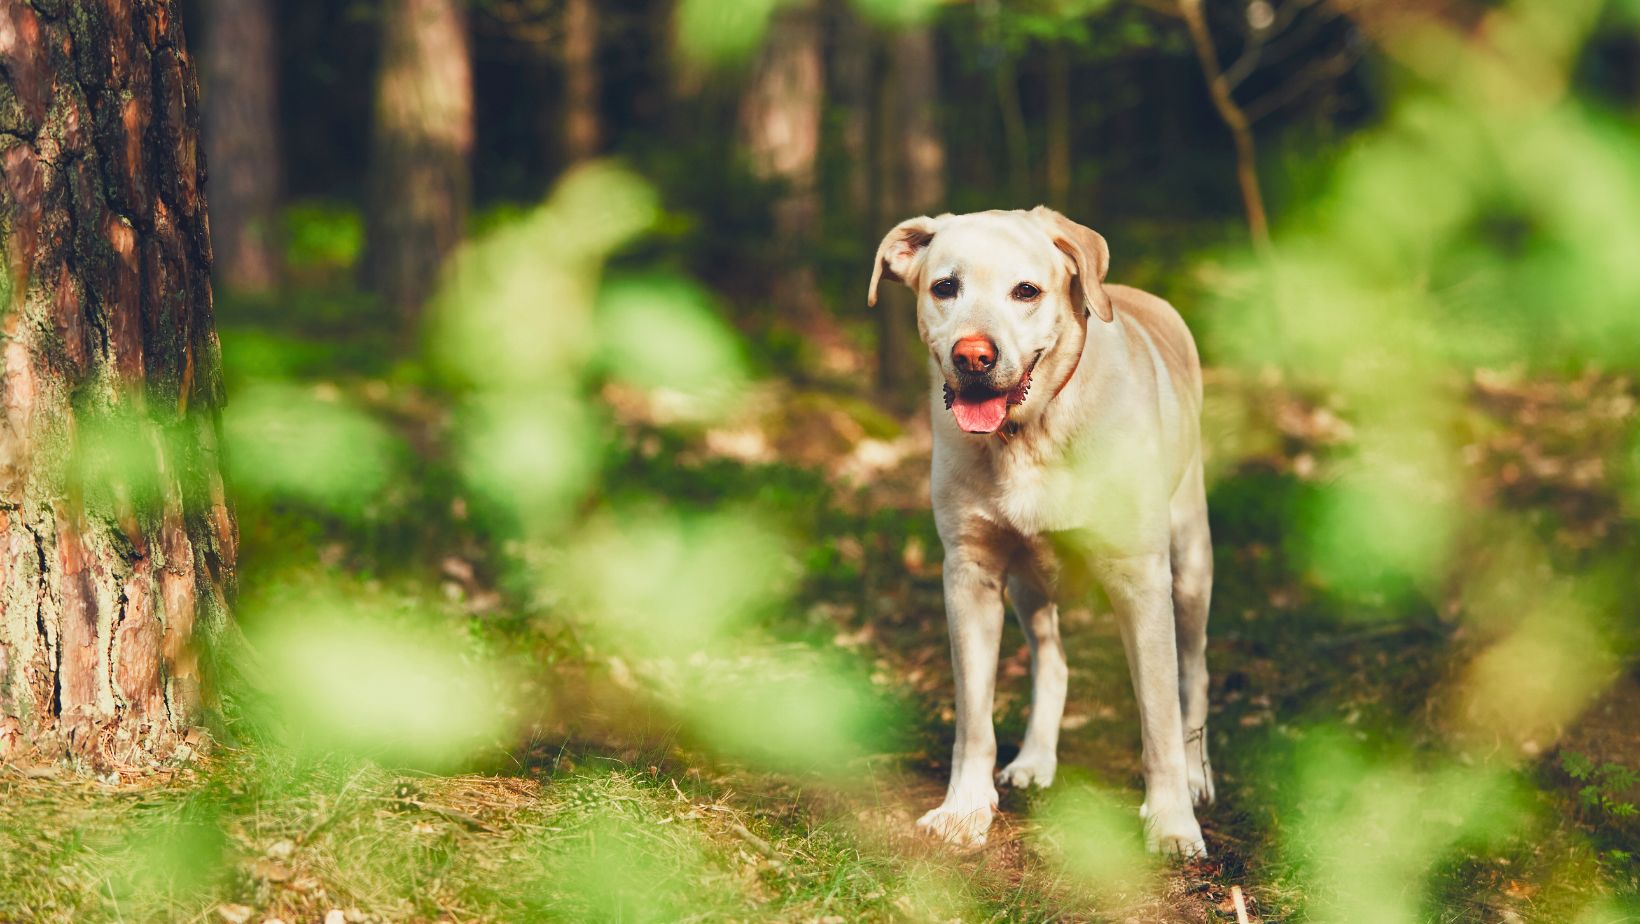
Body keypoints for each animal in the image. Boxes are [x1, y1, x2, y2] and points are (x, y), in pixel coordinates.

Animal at [872, 205, 1220, 859]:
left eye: (1026, 291)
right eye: (944, 287)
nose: (973, 356)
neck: (1030, 432)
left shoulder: (1141, 578)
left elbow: (1159, 716)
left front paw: (1171, 821)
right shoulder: (970, 575)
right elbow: (973, 717)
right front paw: (965, 808)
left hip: (1189, 565)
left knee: (1194, 672)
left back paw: (1197, 777)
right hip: (1028, 581)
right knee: (1051, 662)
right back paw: (1035, 760)